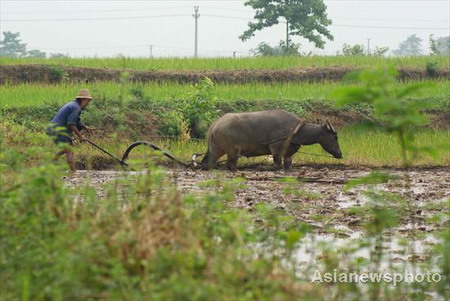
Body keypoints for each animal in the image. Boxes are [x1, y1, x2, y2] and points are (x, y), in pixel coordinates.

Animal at [200, 109, 342, 171]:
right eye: (335, 137)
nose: (340, 154)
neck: (296, 130)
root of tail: (216, 124)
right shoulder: (276, 148)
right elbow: (277, 164)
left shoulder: (288, 152)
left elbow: (288, 164)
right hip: (233, 150)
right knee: (229, 164)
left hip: (216, 149)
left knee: (208, 162)